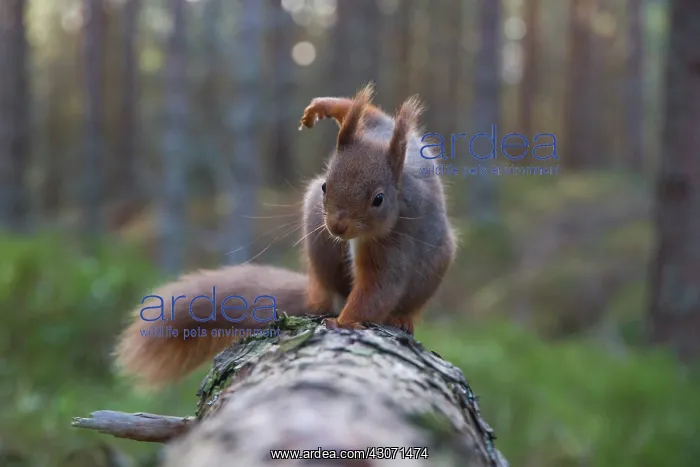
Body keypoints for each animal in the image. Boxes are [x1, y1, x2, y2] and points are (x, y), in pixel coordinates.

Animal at [114, 84, 456, 388]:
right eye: (326, 185)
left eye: (378, 199)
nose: (337, 227)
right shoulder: (376, 127)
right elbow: (369, 112)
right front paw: (323, 107)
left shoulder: (394, 244)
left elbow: (379, 287)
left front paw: (345, 322)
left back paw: (399, 318)